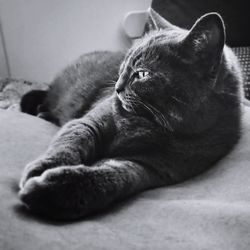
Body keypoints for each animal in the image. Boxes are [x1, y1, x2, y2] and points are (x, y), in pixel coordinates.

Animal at [19, 9, 242, 220]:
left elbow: (113, 177)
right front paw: (42, 169)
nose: (117, 87)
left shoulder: (151, 167)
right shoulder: (88, 123)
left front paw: (52, 193)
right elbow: (69, 143)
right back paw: (42, 113)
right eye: (123, 67)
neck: (150, 125)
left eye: (142, 74)